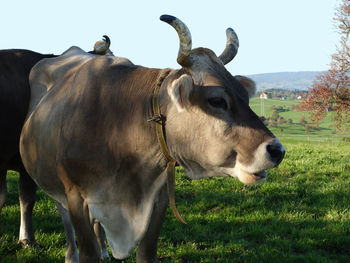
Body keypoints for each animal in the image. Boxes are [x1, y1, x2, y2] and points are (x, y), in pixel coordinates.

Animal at [20, 15, 286, 262]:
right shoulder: (75, 194)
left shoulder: (158, 197)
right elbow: (86, 250)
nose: (277, 150)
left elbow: (147, 253)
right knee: (65, 219)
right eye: (217, 100)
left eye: (245, 96)